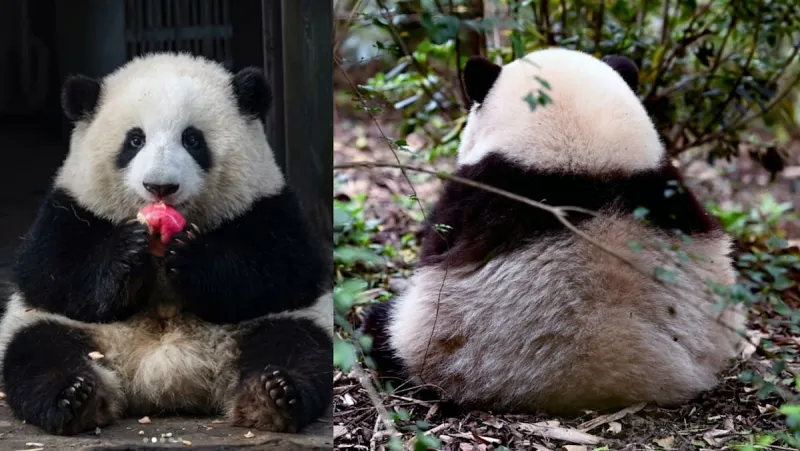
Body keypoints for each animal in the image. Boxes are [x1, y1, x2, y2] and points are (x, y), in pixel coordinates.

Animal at [0, 52, 332, 435]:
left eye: (192, 140)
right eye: (134, 141)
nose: (160, 186)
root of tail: (162, 379)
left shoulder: (267, 207)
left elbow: (285, 272)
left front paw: (191, 257)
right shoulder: (69, 208)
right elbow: (50, 274)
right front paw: (128, 252)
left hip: (266, 327)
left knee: (296, 346)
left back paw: (269, 396)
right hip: (56, 329)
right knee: (38, 354)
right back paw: (75, 398)